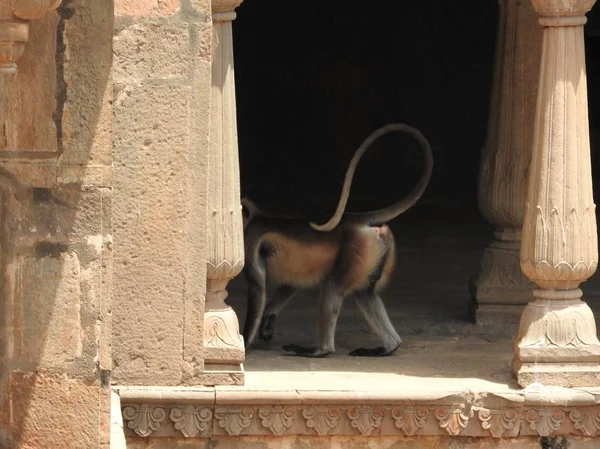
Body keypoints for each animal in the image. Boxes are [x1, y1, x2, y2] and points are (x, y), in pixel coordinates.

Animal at [239, 121, 432, 356]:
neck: (254, 217)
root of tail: (357, 219)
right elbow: (290, 285)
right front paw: (268, 319)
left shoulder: (249, 239)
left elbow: (257, 288)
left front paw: (244, 344)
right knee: (365, 294)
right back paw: (388, 347)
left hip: (356, 247)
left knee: (332, 288)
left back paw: (320, 350)